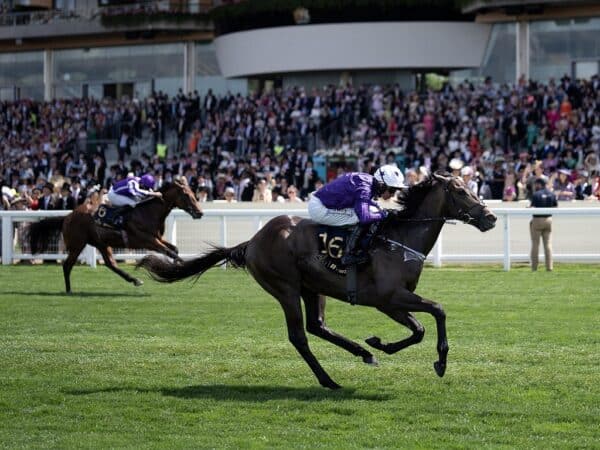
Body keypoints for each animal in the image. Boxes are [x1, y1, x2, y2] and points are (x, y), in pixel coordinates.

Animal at [29, 178, 203, 294]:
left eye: (193, 193)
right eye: (186, 195)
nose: (200, 213)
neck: (149, 211)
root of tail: (67, 217)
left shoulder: (158, 238)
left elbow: (174, 249)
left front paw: (176, 267)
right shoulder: (147, 240)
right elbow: (170, 252)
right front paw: (185, 267)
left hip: (101, 243)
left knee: (110, 264)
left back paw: (135, 280)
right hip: (77, 244)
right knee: (67, 265)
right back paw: (69, 290)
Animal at [139, 174, 496, 388]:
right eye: (461, 191)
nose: (491, 217)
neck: (399, 239)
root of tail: (252, 241)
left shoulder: (390, 302)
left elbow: (419, 328)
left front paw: (378, 344)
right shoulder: (388, 297)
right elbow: (437, 311)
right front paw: (440, 361)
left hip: (313, 287)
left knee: (317, 326)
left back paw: (362, 353)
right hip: (285, 287)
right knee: (299, 336)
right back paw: (329, 380)